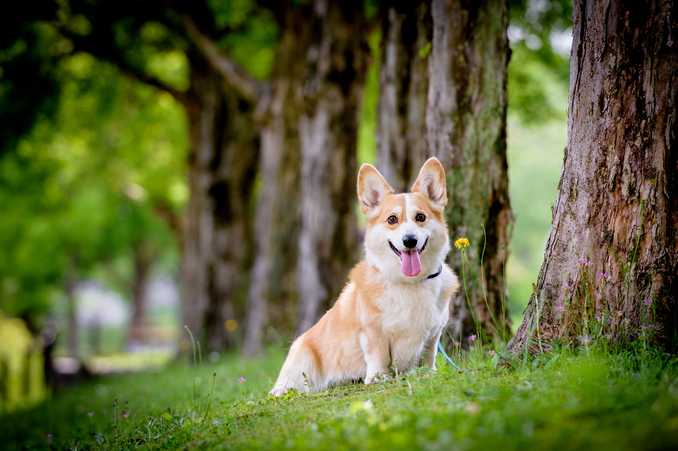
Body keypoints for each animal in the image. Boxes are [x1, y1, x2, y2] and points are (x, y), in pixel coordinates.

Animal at [268, 157, 460, 398]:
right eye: (392, 219)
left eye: (421, 217)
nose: (410, 240)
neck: (409, 282)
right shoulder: (371, 332)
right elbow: (379, 356)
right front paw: (378, 378)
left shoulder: (434, 334)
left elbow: (429, 355)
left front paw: (429, 374)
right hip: (302, 357)